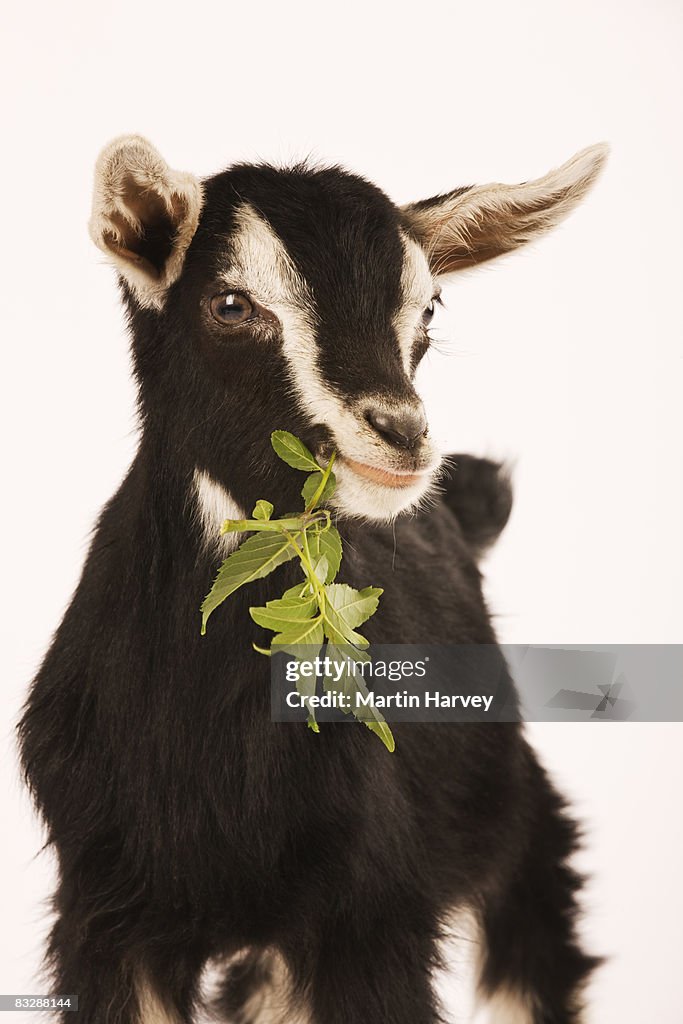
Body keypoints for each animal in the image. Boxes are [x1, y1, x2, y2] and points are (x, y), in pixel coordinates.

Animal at [19, 136, 607, 1024]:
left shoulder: (367, 912)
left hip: (509, 820)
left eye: (428, 308)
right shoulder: (107, 913)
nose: (401, 434)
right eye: (230, 303)